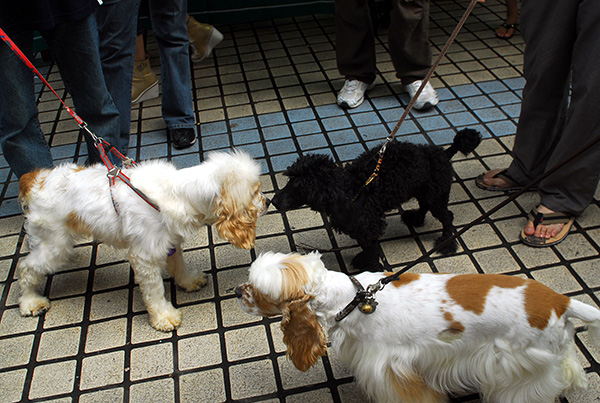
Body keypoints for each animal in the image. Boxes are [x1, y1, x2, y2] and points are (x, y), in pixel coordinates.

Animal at [18, 152, 268, 332]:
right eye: (255, 191)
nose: (268, 201)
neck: (178, 194)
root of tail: (35, 179)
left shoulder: (170, 241)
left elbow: (179, 265)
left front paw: (188, 281)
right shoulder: (144, 257)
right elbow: (154, 290)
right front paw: (164, 317)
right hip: (53, 244)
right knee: (26, 267)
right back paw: (30, 302)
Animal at [236, 252, 600, 403]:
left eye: (259, 291)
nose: (237, 291)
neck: (351, 297)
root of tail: (561, 301)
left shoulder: (390, 367)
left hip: (517, 365)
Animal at [272, 129, 482, 272]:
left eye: (299, 186)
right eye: (289, 180)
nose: (273, 201)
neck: (350, 189)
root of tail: (444, 154)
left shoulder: (369, 224)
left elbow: (371, 248)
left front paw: (372, 266)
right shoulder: (358, 227)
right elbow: (366, 246)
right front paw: (364, 260)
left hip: (436, 195)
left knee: (447, 216)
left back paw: (447, 243)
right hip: (424, 191)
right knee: (425, 206)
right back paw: (416, 219)